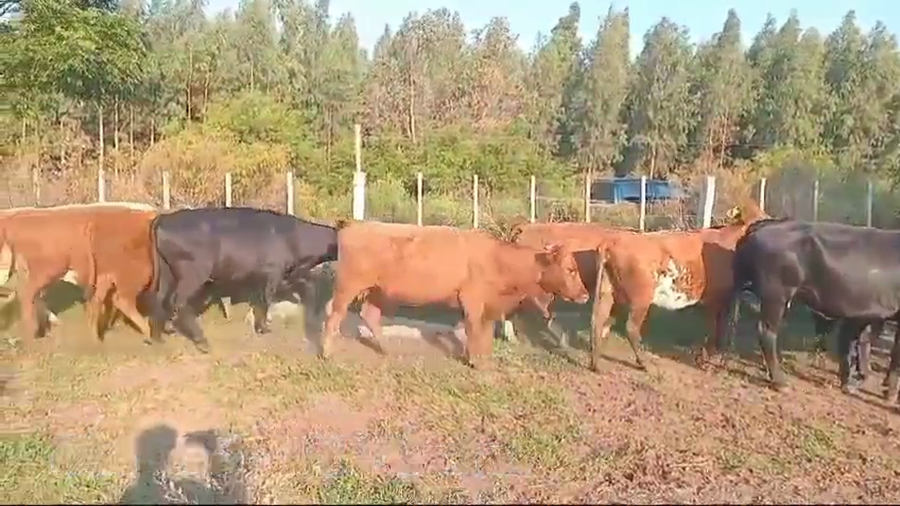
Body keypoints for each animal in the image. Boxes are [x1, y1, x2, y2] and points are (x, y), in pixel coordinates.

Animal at [145, 207, 340, 352]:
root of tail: (164, 217)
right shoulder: (273, 273)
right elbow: (266, 301)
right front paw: (264, 327)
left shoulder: (286, 275)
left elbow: (307, 286)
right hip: (193, 273)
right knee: (177, 303)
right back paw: (201, 341)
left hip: (167, 273)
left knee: (160, 299)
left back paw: (159, 337)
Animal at [319, 221, 590, 369]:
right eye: (570, 269)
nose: (585, 295)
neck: (497, 259)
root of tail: (353, 225)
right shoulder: (472, 299)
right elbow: (475, 330)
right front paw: (477, 361)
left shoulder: (486, 304)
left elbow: (483, 331)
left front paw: (482, 357)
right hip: (348, 285)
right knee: (334, 314)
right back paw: (327, 353)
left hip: (377, 290)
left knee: (369, 314)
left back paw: (387, 350)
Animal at [588, 202, 768, 373]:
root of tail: (612, 241)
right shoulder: (717, 298)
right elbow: (714, 328)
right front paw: (707, 359)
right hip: (641, 296)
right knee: (631, 328)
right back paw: (644, 363)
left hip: (609, 291)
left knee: (599, 320)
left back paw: (595, 364)